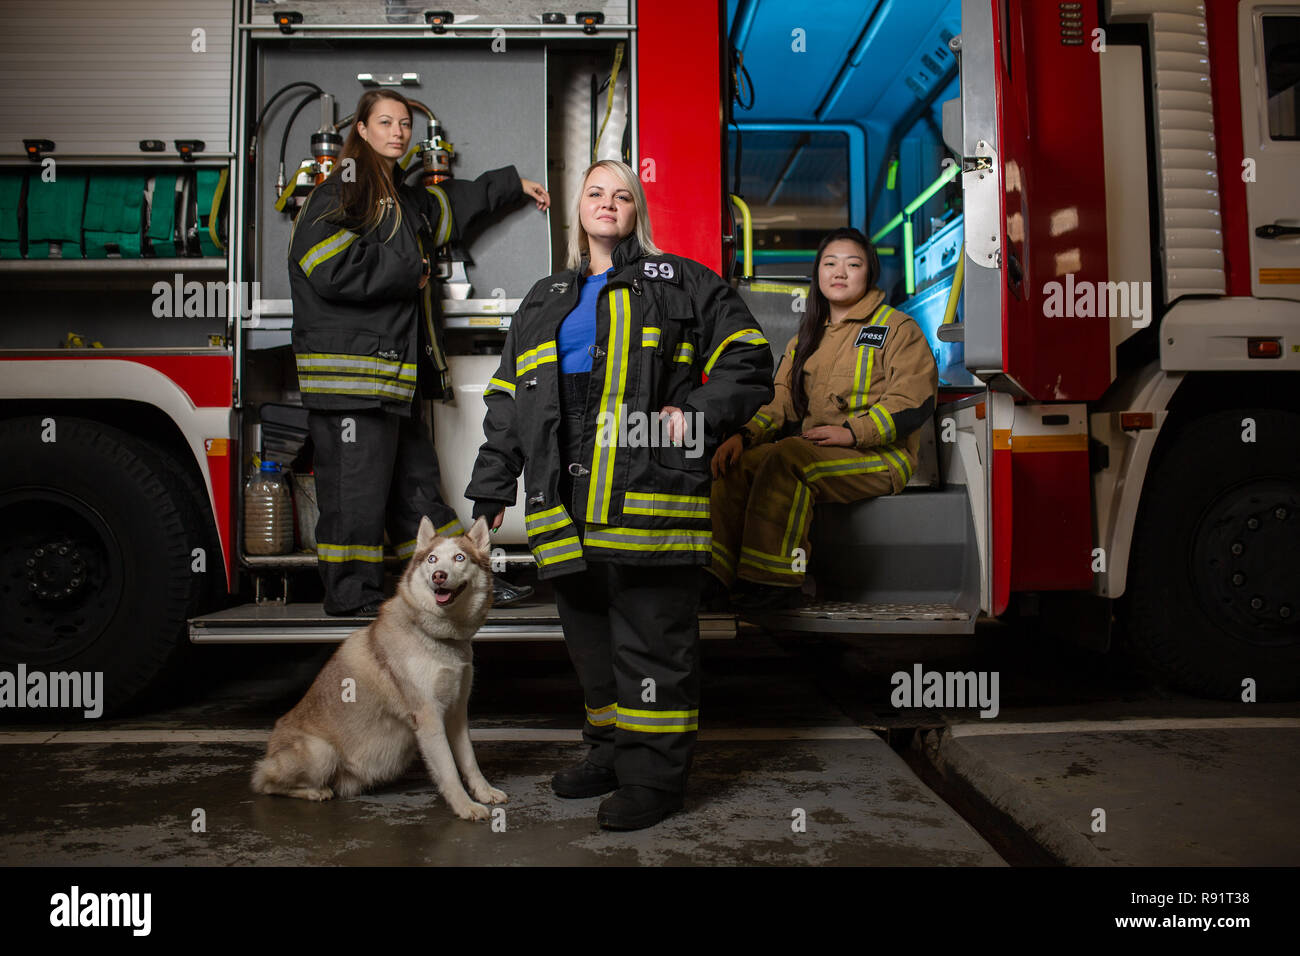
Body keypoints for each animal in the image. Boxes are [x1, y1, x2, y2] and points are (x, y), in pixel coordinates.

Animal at [249, 515, 506, 822]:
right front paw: (464, 805)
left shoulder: (456, 712)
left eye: (459, 558)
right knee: (263, 782)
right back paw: (314, 791)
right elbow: (449, 771)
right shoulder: (429, 716)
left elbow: (469, 761)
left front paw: (484, 792)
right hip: (321, 752)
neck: (436, 635)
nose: (439, 576)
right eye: (432, 559)